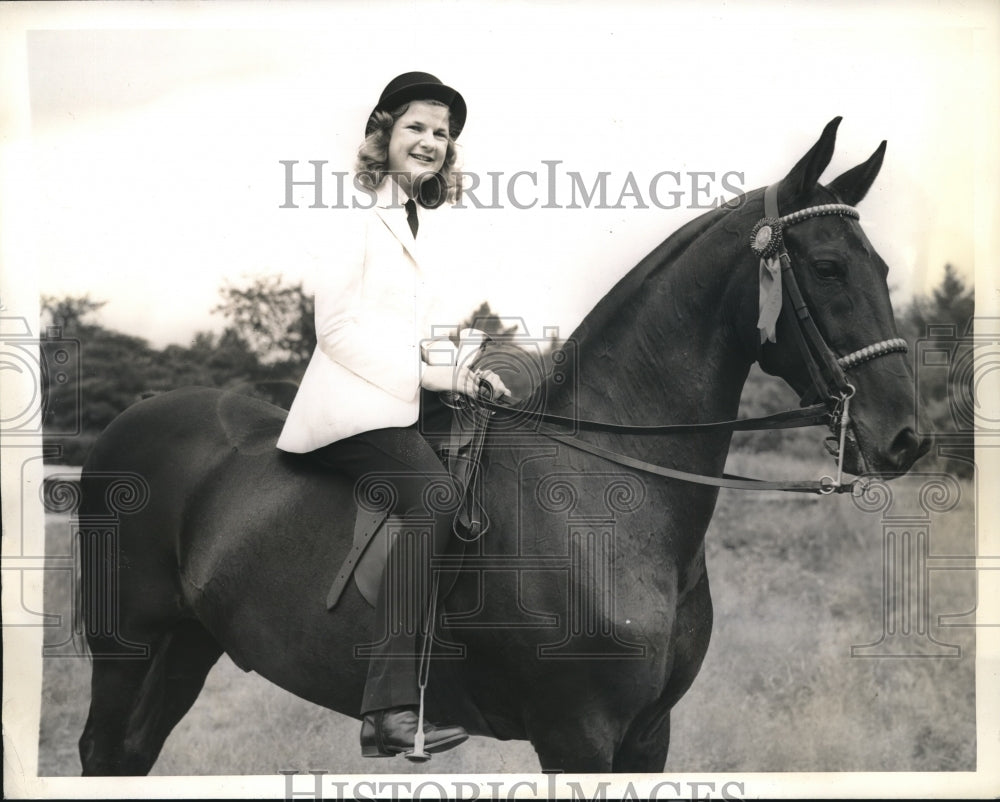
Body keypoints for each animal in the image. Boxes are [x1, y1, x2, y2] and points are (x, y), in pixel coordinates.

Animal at [78, 115, 928, 772]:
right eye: (828, 267)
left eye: (883, 266)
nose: (906, 439)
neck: (613, 498)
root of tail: (135, 417)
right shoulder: (576, 736)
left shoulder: (647, 735)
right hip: (127, 647)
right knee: (101, 750)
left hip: (187, 643)